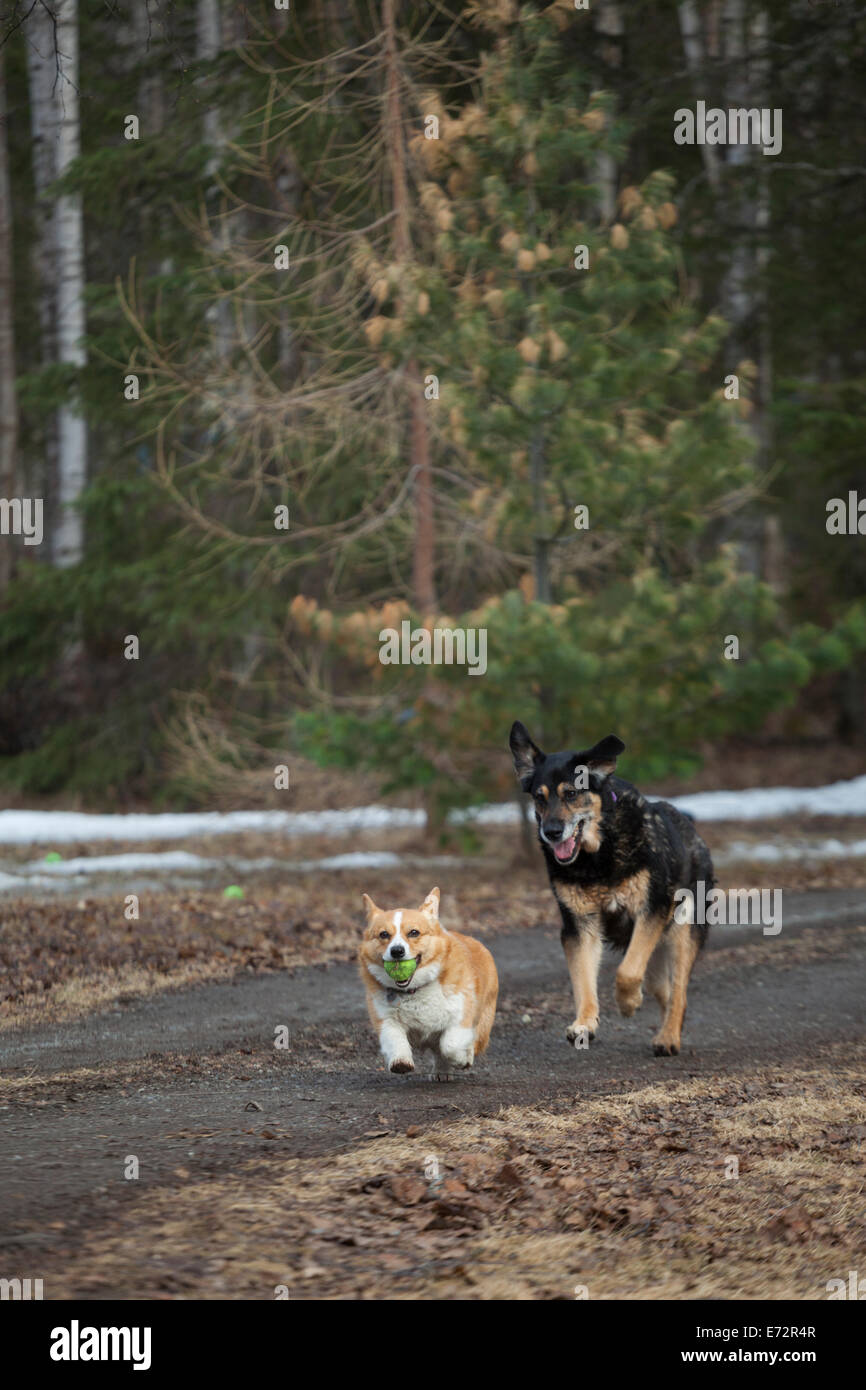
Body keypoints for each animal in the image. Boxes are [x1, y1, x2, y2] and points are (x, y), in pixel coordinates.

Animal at [358, 889, 497, 1073]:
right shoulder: (386, 1020)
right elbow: (395, 1041)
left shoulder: (461, 1016)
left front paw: (461, 1059)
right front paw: (401, 1063)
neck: (414, 990)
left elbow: (450, 1045)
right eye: (384, 934)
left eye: (414, 932)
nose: (397, 951)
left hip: (483, 1025)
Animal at [508, 728, 711, 1050]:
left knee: (678, 990)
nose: (551, 833)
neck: (598, 856)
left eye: (572, 793)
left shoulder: (650, 911)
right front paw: (585, 1023)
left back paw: (668, 1037)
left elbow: (627, 972)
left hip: (684, 930)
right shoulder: (580, 926)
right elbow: (583, 981)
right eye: (539, 798)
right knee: (664, 989)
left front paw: (628, 1004)